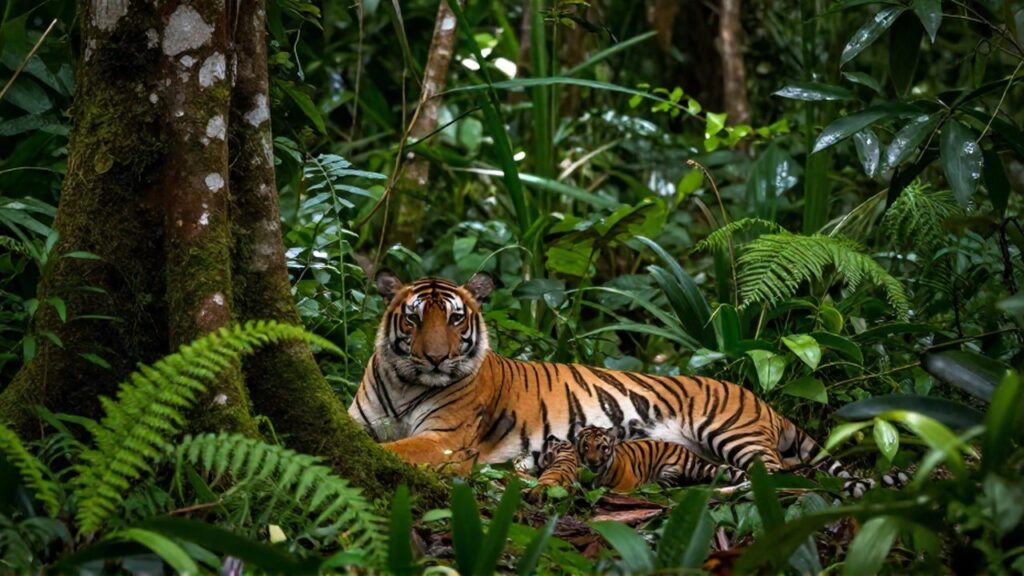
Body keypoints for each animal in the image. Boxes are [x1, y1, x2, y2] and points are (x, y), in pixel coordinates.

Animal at [348, 272, 852, 481]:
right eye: (413, 319)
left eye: (455, 319)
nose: (435, 358)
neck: (405, 382)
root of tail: (759, 399)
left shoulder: (445, 440)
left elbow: (396, 450)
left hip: (730, 429)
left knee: (778, 474)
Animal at [574, 425, 748, 492]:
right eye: (586, 447)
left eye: (602, 448)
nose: (592, 462)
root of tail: (687, 450)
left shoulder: (625, 486)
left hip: (668, 469)